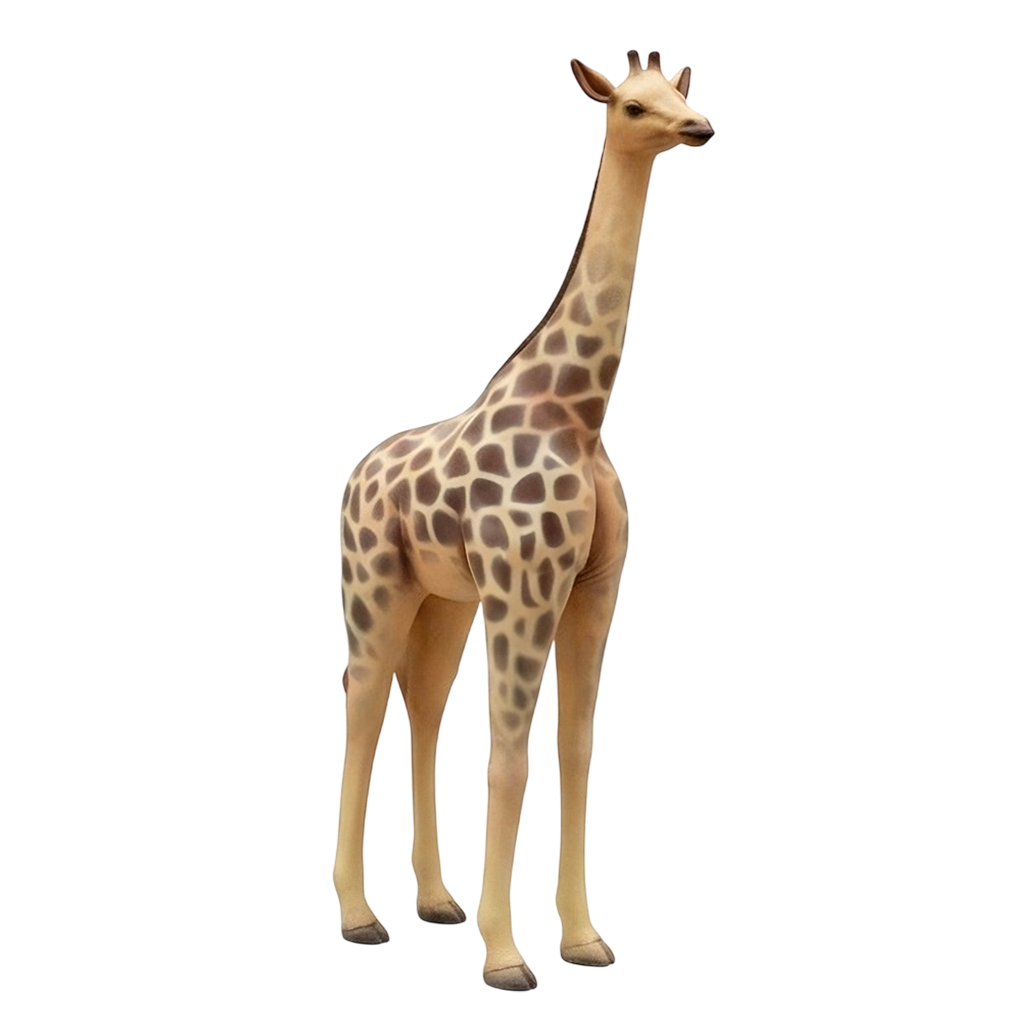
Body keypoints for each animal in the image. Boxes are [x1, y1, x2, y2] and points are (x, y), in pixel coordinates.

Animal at [333, 51, 714, 991]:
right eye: (631, 106)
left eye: (680, 93)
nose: (697, 129)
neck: (578, 413)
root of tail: (358, 479)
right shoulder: (525, 589)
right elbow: (506, 756)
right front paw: (507, 957)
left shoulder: (589, 590)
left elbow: (572, 749)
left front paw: (582, 940)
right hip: (378, 592)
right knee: (362, 711)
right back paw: (359, 916)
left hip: (444, 603)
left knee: (423, 710)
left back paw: (436, 902)